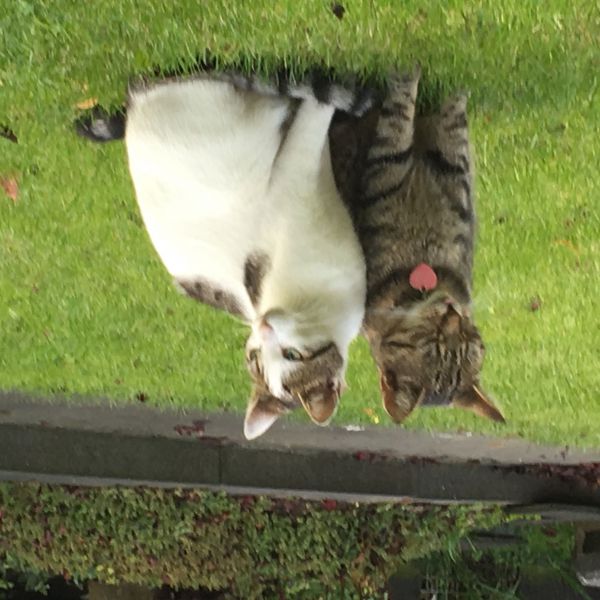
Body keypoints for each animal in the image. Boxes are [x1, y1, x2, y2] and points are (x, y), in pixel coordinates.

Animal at [77, 75, 372, 440]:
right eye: (257, 357)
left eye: (291, 354)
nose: (262, 325)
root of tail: (134, 123)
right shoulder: (293, 173)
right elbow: (314, 117)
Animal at [330, 70, 504, 424]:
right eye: (434, 344)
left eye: (465, 344)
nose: (452, 314)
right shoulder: (390, 169)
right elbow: (402, 118)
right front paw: (416, 82)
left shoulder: (449, 178)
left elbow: (444, 132)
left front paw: (450, 98)